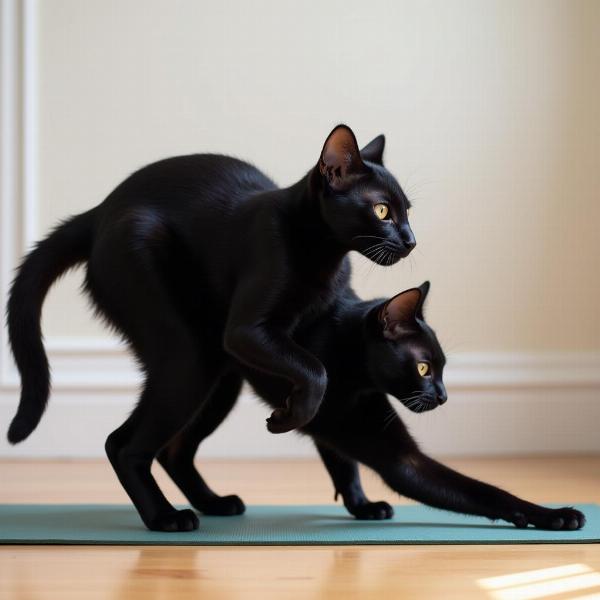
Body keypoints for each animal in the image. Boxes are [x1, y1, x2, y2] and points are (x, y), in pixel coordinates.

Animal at [7, 123, 414, 528]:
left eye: (408, 211)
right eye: (382, 211)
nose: (411, 240)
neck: (324, 257)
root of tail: (99, 213)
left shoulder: (310, 330)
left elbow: (332, 412)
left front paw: (361, 502)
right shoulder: (247, 331)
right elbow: (317, 373)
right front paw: (290, 416)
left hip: (219, 374)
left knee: (171, 450)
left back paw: (214, 502)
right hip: (189, 354)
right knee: (123, 445)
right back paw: (165, 518)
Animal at [158, 284, 584, 532]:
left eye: (443, 368)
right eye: (424, 368)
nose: (443, 396)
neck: (353, 376)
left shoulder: (349, 431)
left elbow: (344, 466)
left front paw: (362, 506)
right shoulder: (394, 457)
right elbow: (485, 491)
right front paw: (555, 515)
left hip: (219, 392)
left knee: (173, 450)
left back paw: (212, 503)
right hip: (200, 382)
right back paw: (174, 515)